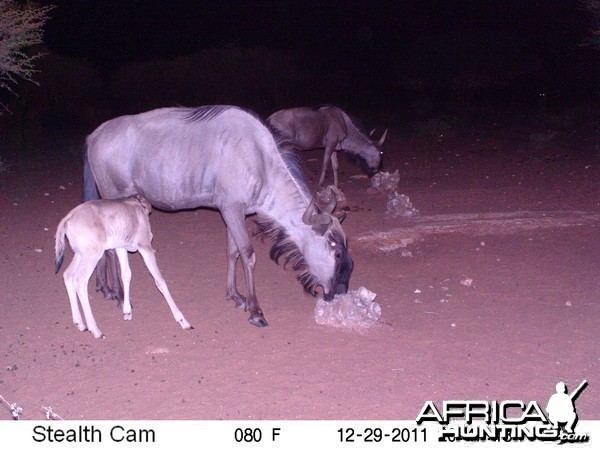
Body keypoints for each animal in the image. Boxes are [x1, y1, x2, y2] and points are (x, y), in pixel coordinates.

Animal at [55, 193, 192, 338]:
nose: (151, 235)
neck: (137, 208)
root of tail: (68, 218)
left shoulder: (121, 248)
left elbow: (126, 274)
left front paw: (127, 312)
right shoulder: (145, 248)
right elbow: (160, 281)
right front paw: (182, 320)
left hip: (80, 254)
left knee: (67, 275)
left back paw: (80, 323)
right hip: (92, 255)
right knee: (80, 280)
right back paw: (95, 330)